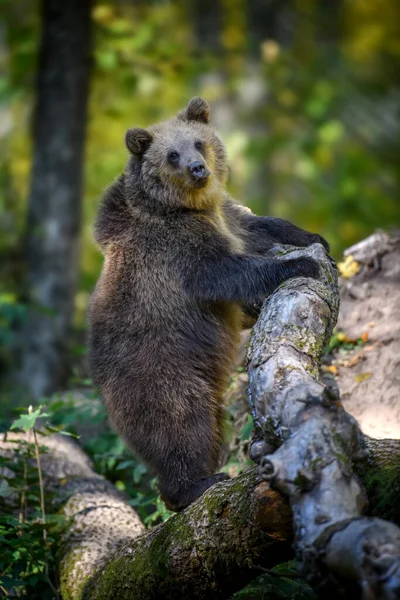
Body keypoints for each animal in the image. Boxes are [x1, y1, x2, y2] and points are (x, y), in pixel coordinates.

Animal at [88, 97, 328, 510]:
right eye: (171, 154)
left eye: (198, 142)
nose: (198, 168)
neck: (188, 206)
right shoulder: (177, 248)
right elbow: (226, 272)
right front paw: (301, 264)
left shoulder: (227, 217)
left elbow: (260, 225)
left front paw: (313, 238)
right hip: (157, 367)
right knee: (180, 422)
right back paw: (195, 485)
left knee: (212, 420)